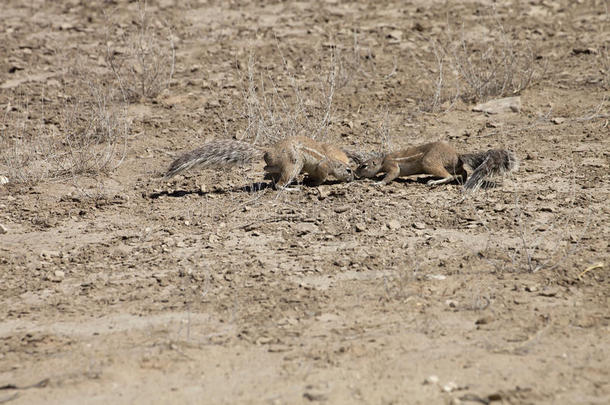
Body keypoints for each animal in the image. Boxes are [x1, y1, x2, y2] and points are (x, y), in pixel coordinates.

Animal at [163, 134, 352, 188]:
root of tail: (269, 150)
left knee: (267, 169)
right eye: (349, 170)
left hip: (283, 164)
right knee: (279, 184)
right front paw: (313, 183)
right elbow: (320, 176)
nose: (352, 179)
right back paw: (291, 188)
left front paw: (308, 179)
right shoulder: (323, 166)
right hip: (293, 164)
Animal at [354, 140, 516, 189]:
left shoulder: (391, 165)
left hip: (428, 162)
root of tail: (457, 155)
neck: (381, 160)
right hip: (453, 166)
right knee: (463, 172)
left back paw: (433, 181)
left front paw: (378, 183)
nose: (355, 173)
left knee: (449, 176)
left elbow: (392, 174)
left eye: (363, 166)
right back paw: (462, 180)